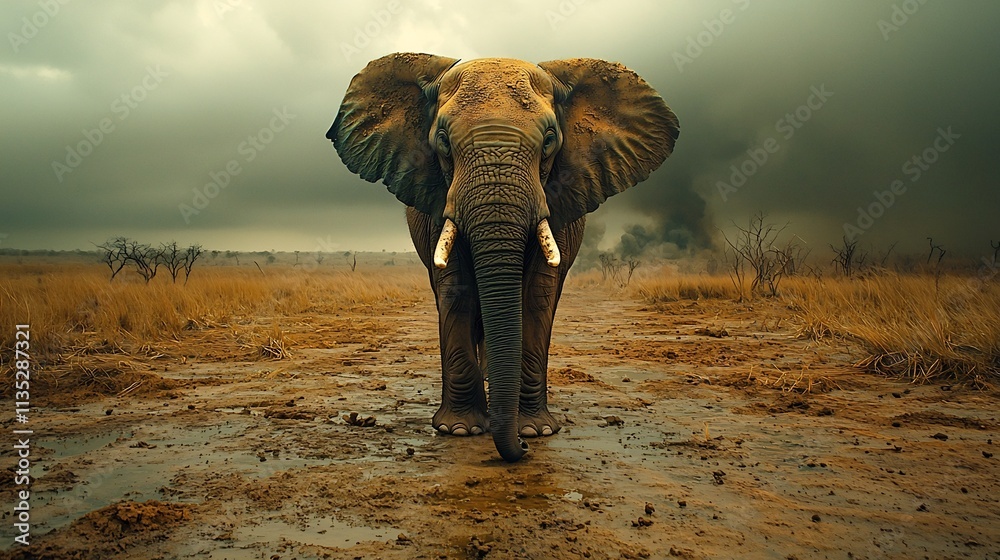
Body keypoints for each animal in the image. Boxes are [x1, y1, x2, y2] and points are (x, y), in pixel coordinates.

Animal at [327, 53, 679, 462]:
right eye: (442, 141)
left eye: (549, 140)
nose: (522, 449)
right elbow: (457, 290)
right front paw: (459, 429)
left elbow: (538, 295)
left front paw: (535, 430)